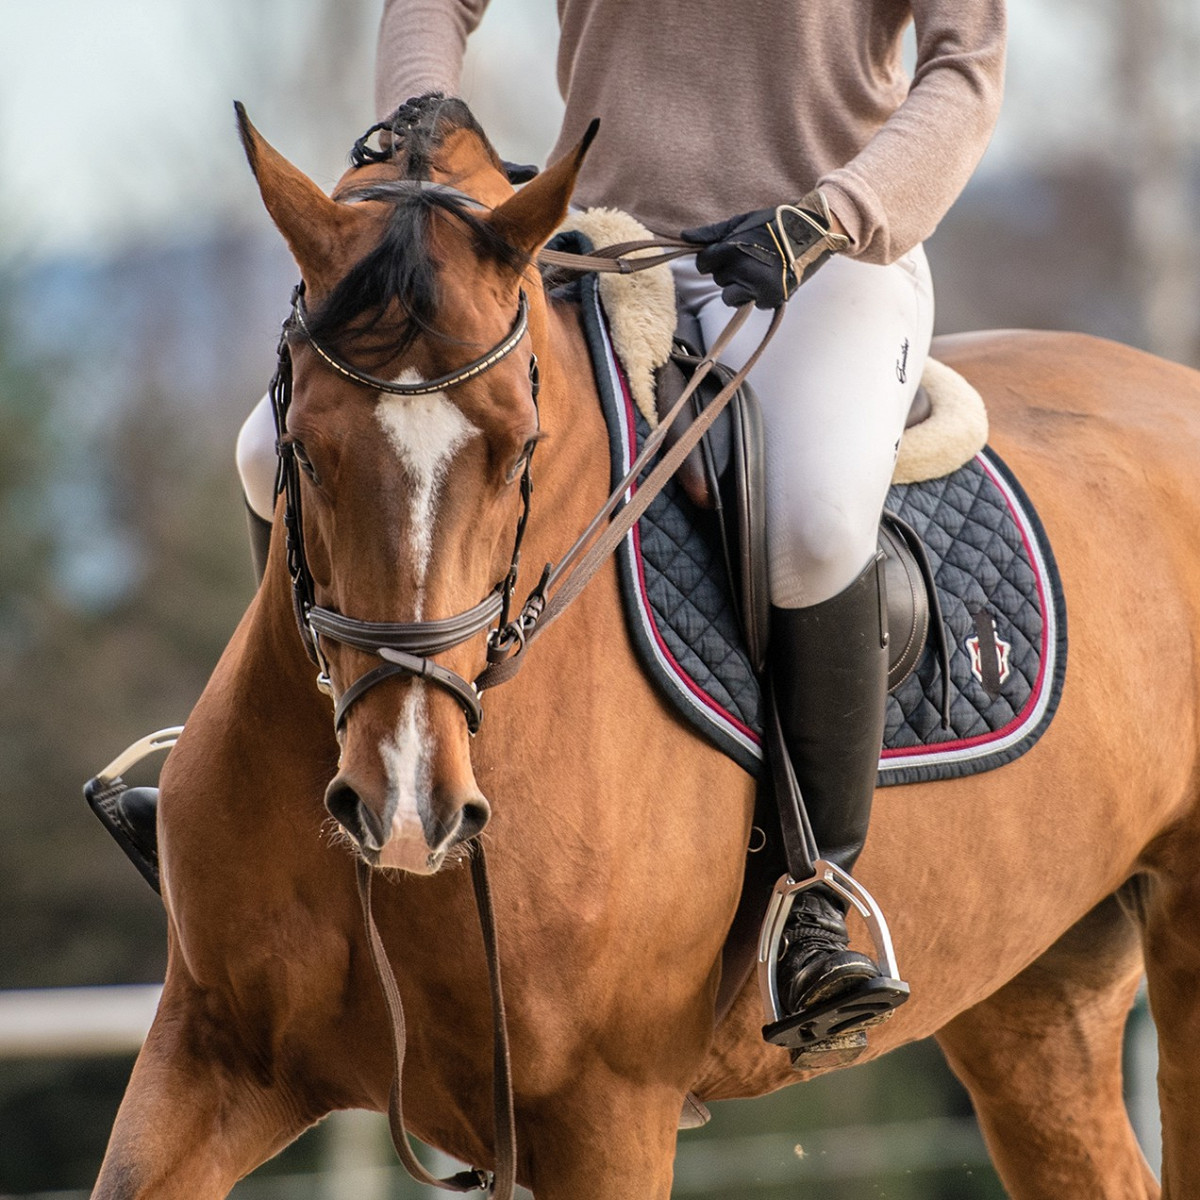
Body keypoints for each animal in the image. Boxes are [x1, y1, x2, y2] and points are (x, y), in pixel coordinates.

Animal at [91, 98, 1200, 1195]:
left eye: (519, 451)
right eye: (306, 450)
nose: (405, 809)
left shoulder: (607, 1111)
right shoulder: (208, 1054)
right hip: (1038, 995)